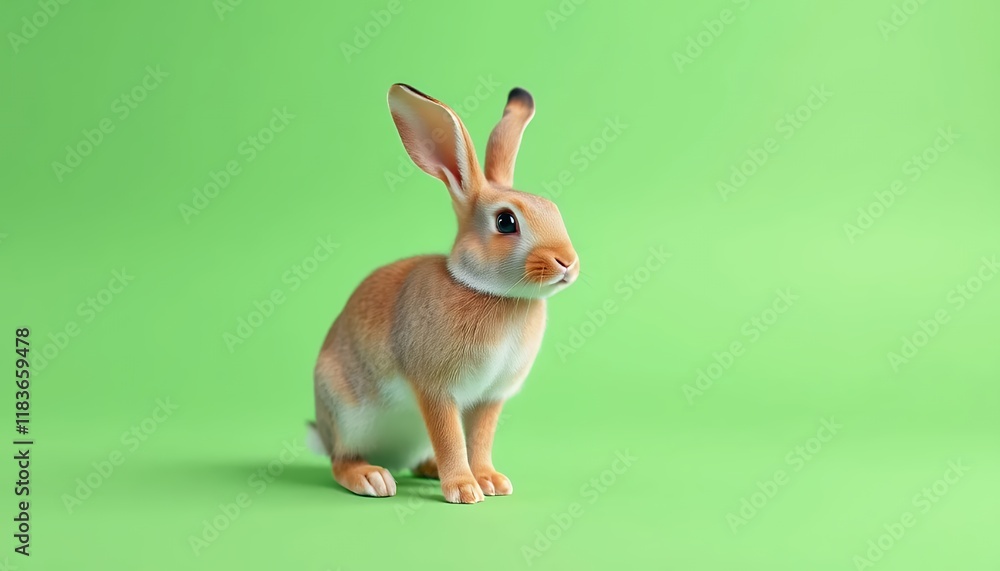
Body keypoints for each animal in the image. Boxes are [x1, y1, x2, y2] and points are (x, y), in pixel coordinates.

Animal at [308, 83, 579, 504]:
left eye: (553, 210)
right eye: (506, 222)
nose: (568, 261)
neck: (493, 293)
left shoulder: (489, 398)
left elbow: (479, 440)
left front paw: (491, 481)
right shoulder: (436, 390)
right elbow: (451, 437)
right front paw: (465, 490)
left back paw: (430, 470)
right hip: (347, 414)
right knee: (341, 460)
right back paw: (372, 478)